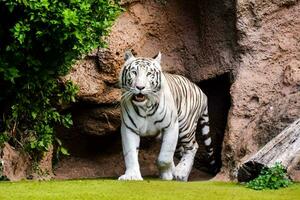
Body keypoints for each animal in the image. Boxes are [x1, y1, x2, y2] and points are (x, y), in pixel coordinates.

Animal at [118, 50, 214, 181]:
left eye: (149, 74)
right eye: (134, 72)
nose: (140, 87)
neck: (145, 107)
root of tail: (201, 92)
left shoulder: (171, 126)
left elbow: (164, 157)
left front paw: (168, 173)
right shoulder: (129, 128)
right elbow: (130, 154)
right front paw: (132, 175)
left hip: (185, 126)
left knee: (192, 147)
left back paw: (181, 172)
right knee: (182, 150)